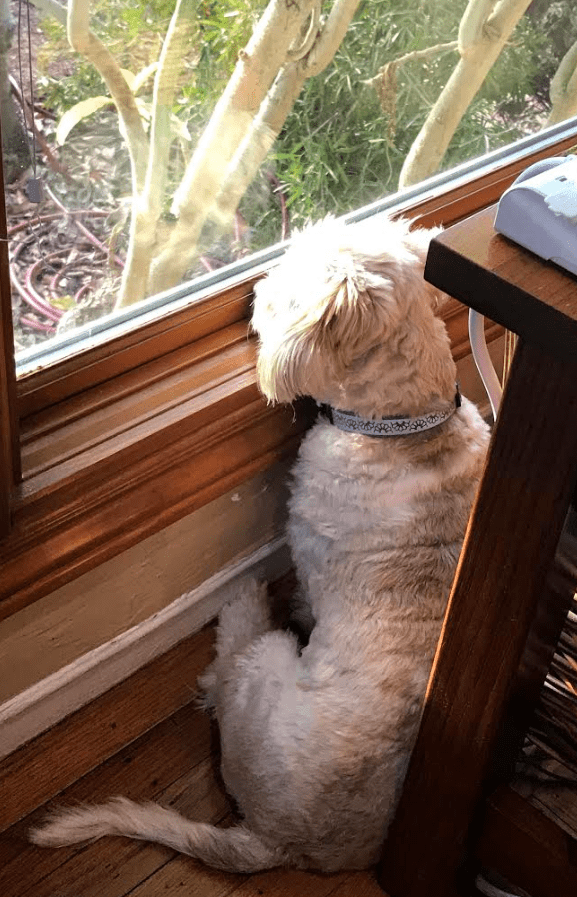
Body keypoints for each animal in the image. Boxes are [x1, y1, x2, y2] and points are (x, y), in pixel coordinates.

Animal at [30, 214, 486, 872]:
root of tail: (276, 842)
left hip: (262, 666)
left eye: (285, 290)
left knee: (224, 675)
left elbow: (303, 597)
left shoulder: (308, 550)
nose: (254, 290)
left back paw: (241, 606)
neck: (405, 429)